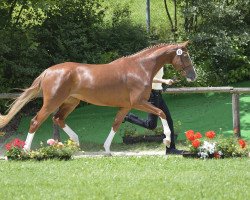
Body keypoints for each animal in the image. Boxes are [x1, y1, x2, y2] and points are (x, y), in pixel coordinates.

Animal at [0, 41, 196, 152]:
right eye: (185, 56)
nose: (193, 76)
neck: (140, 68)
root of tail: (48, 71)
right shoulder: (139, 102)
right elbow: (161, 113)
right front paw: (167, 139)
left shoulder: (126, 106)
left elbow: (116, 123)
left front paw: (107, 149)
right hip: (52, 102)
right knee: (36, 121)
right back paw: (26, 150)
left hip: (71, 102)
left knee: (58, 118)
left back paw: (76, 141)